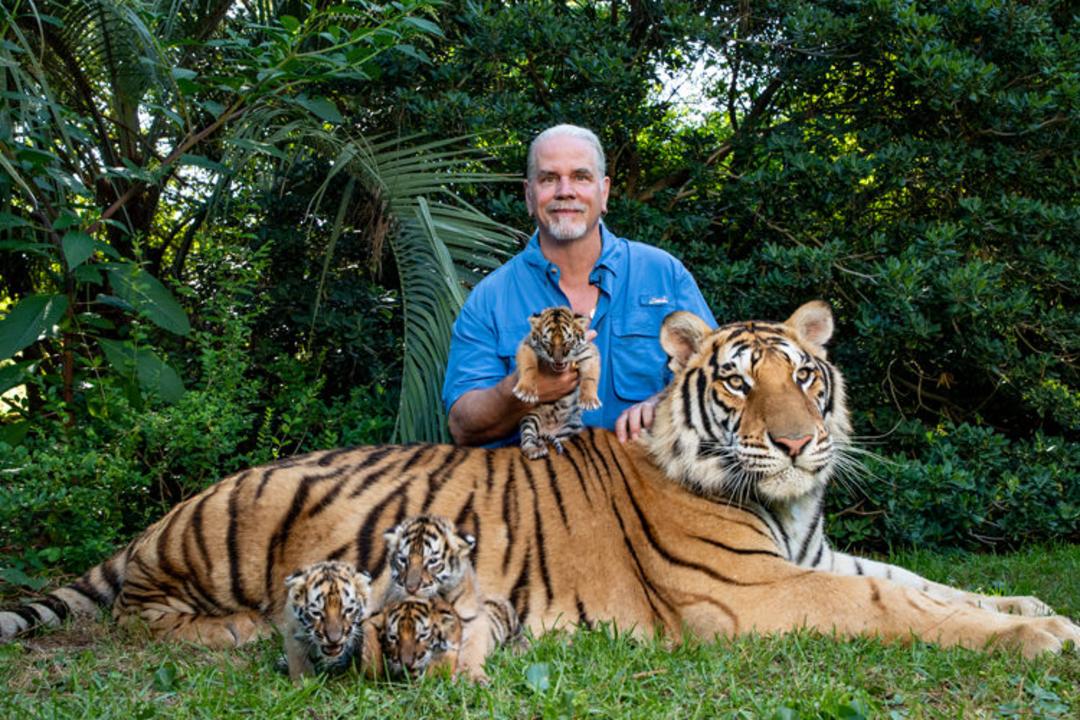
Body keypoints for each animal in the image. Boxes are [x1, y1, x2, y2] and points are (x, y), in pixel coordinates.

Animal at [381, 515, 522, 681]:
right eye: (403, 560)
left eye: (432, 561)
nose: (411, 588)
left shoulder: (473, 619)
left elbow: (473, 648)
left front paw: (473, 677)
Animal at [511, 306, 601, 459]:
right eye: (548, 343)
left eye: (567, 342)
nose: (558, 360)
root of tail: (548, 431)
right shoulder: (527, 345)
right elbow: (528, 366)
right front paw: (526, 391)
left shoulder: (588, 352)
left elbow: (590, 378)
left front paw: (589, 400)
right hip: (530, 418)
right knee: (528, 438)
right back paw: (534, 450)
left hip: (571, 427)